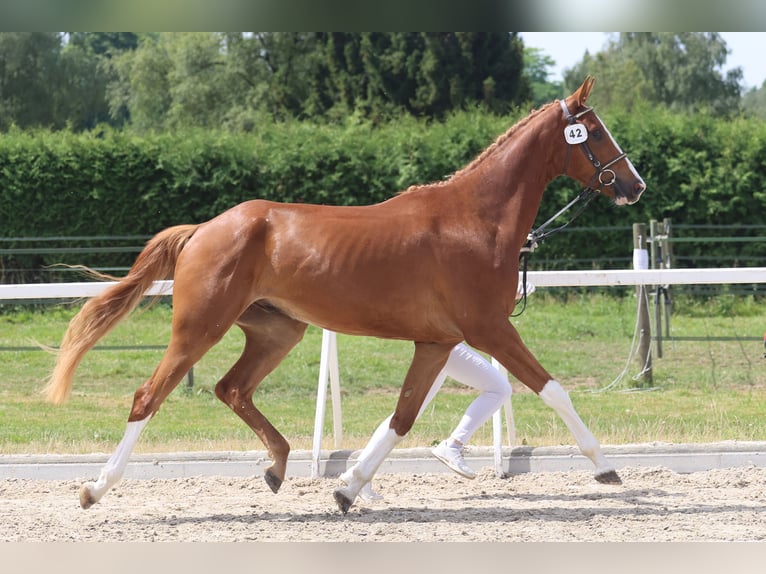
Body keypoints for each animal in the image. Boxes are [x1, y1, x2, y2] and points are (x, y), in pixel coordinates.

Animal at [45, 76, 648, 512]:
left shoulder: (436, 343)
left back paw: (277, 467)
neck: (475, 220)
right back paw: (95, 488)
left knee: (231, 388)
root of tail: (203, 230)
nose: (635, 185)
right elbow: (555, 391)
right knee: (149, 396)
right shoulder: (489, 329)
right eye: (594, 132)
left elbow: (402, 417)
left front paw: (348, 488)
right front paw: (606, 468)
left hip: (278, 330)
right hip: (200, 328)